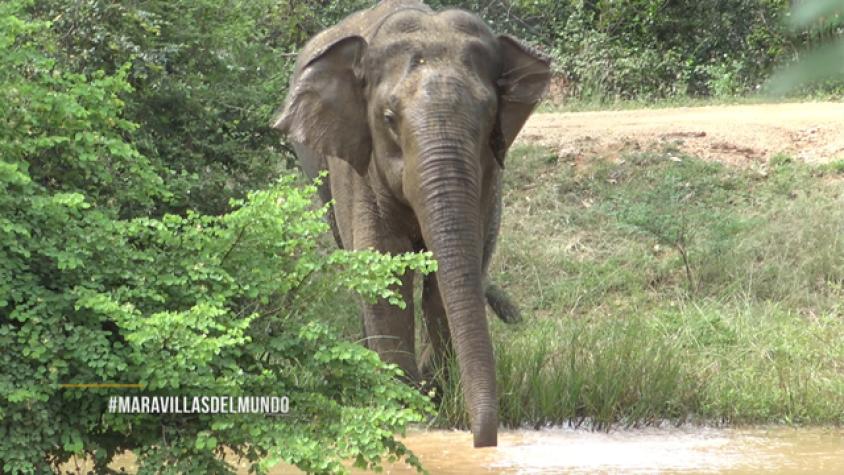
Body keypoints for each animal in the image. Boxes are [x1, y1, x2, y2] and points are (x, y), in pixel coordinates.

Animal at [271, 0, 550, 447]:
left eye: (490, 115)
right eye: (388, 117)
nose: (482, 442)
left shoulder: (490, 177)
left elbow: (451, 278)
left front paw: (435, 394)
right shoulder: (359, 167)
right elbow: (381, 271)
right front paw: (404, 404)